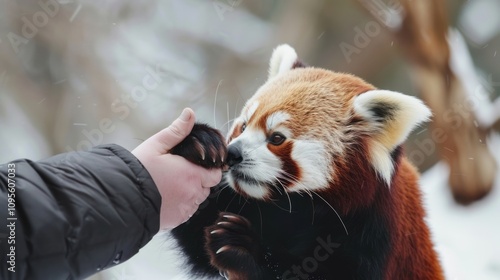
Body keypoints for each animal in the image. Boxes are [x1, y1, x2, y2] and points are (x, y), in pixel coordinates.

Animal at [171, 44, 442, 280]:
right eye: (244, 126)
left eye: (277, 138)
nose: (233, 153)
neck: (294, 209)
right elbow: (195, 235)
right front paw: (198, 142)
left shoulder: (373, 233)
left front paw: (244, 247)